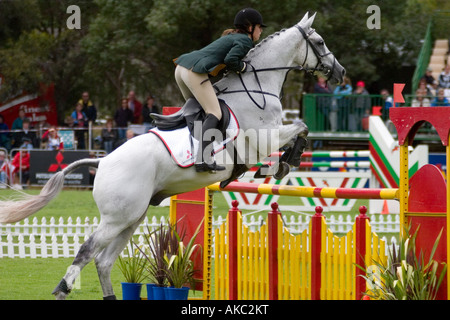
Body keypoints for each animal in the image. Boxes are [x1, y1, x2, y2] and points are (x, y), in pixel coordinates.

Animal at [0, 11, 344, 298]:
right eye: (319, 42)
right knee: (87, 252)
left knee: (104, 261)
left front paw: (281, 164)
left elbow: (300, 129)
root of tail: (103, 160)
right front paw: (285, 163)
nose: (339, 72)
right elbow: (301, 126)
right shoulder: (263, 137)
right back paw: (62, 289)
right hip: (117, 217)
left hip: (132, 217)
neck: (256, 86)